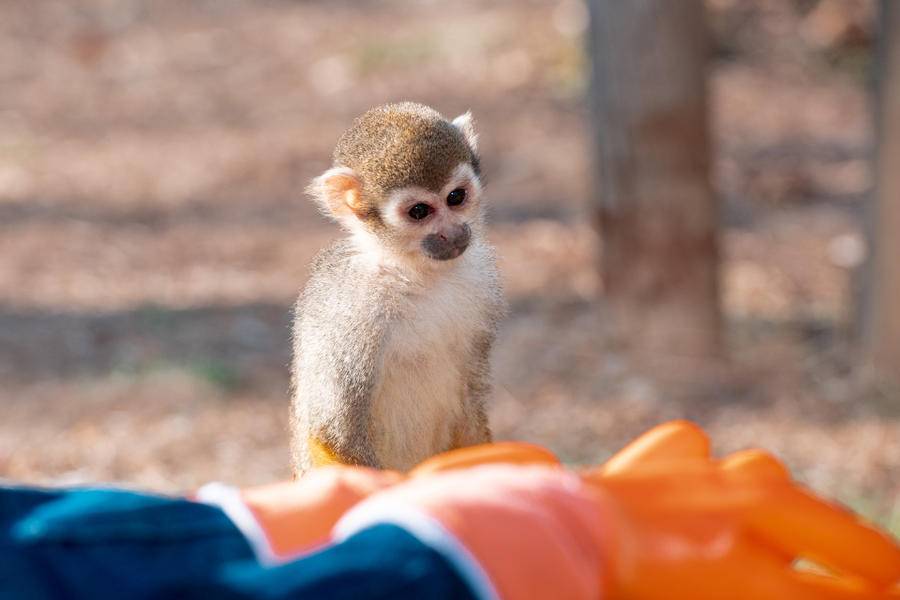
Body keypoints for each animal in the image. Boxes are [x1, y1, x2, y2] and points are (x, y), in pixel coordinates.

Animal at [294, 105, 506, 476]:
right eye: (419, 211)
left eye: (456, 197)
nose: (452, 232)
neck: (410, 272)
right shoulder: (348, 311)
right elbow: (334, 433)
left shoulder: (481, 278)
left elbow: (470, 399)